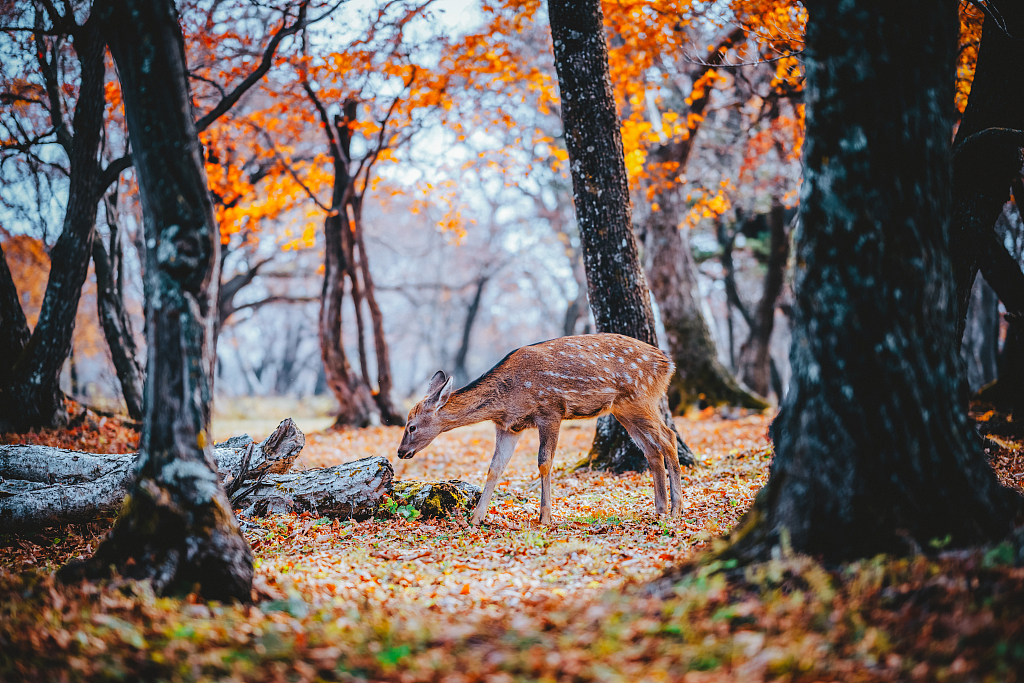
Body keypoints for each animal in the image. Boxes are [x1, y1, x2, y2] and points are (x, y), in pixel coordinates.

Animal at [395, 333, 684, 528]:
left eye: (412, 426)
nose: (400, 452)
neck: (507, 399)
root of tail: (669, 364)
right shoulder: (509, 427)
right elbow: (494, 468)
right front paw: (476, 517)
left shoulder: (551, 411)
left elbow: (544, 462)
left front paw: (544, 516)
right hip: (624, 408)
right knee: (652, 449)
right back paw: (660, 508)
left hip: (641, 397)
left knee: (668, 437)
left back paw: (676, 510)